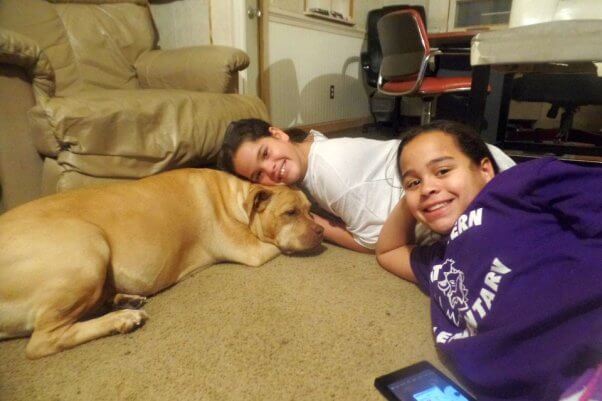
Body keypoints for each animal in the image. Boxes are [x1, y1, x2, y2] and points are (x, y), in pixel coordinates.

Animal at [0, 167, 324, 358]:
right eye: (290, 213)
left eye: (310, 209)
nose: (321, 231)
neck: (239, 199)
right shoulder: (253, 250)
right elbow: (278, 246)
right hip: (88, 248)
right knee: (43, 342)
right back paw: (121, 319)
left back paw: (124, 300)